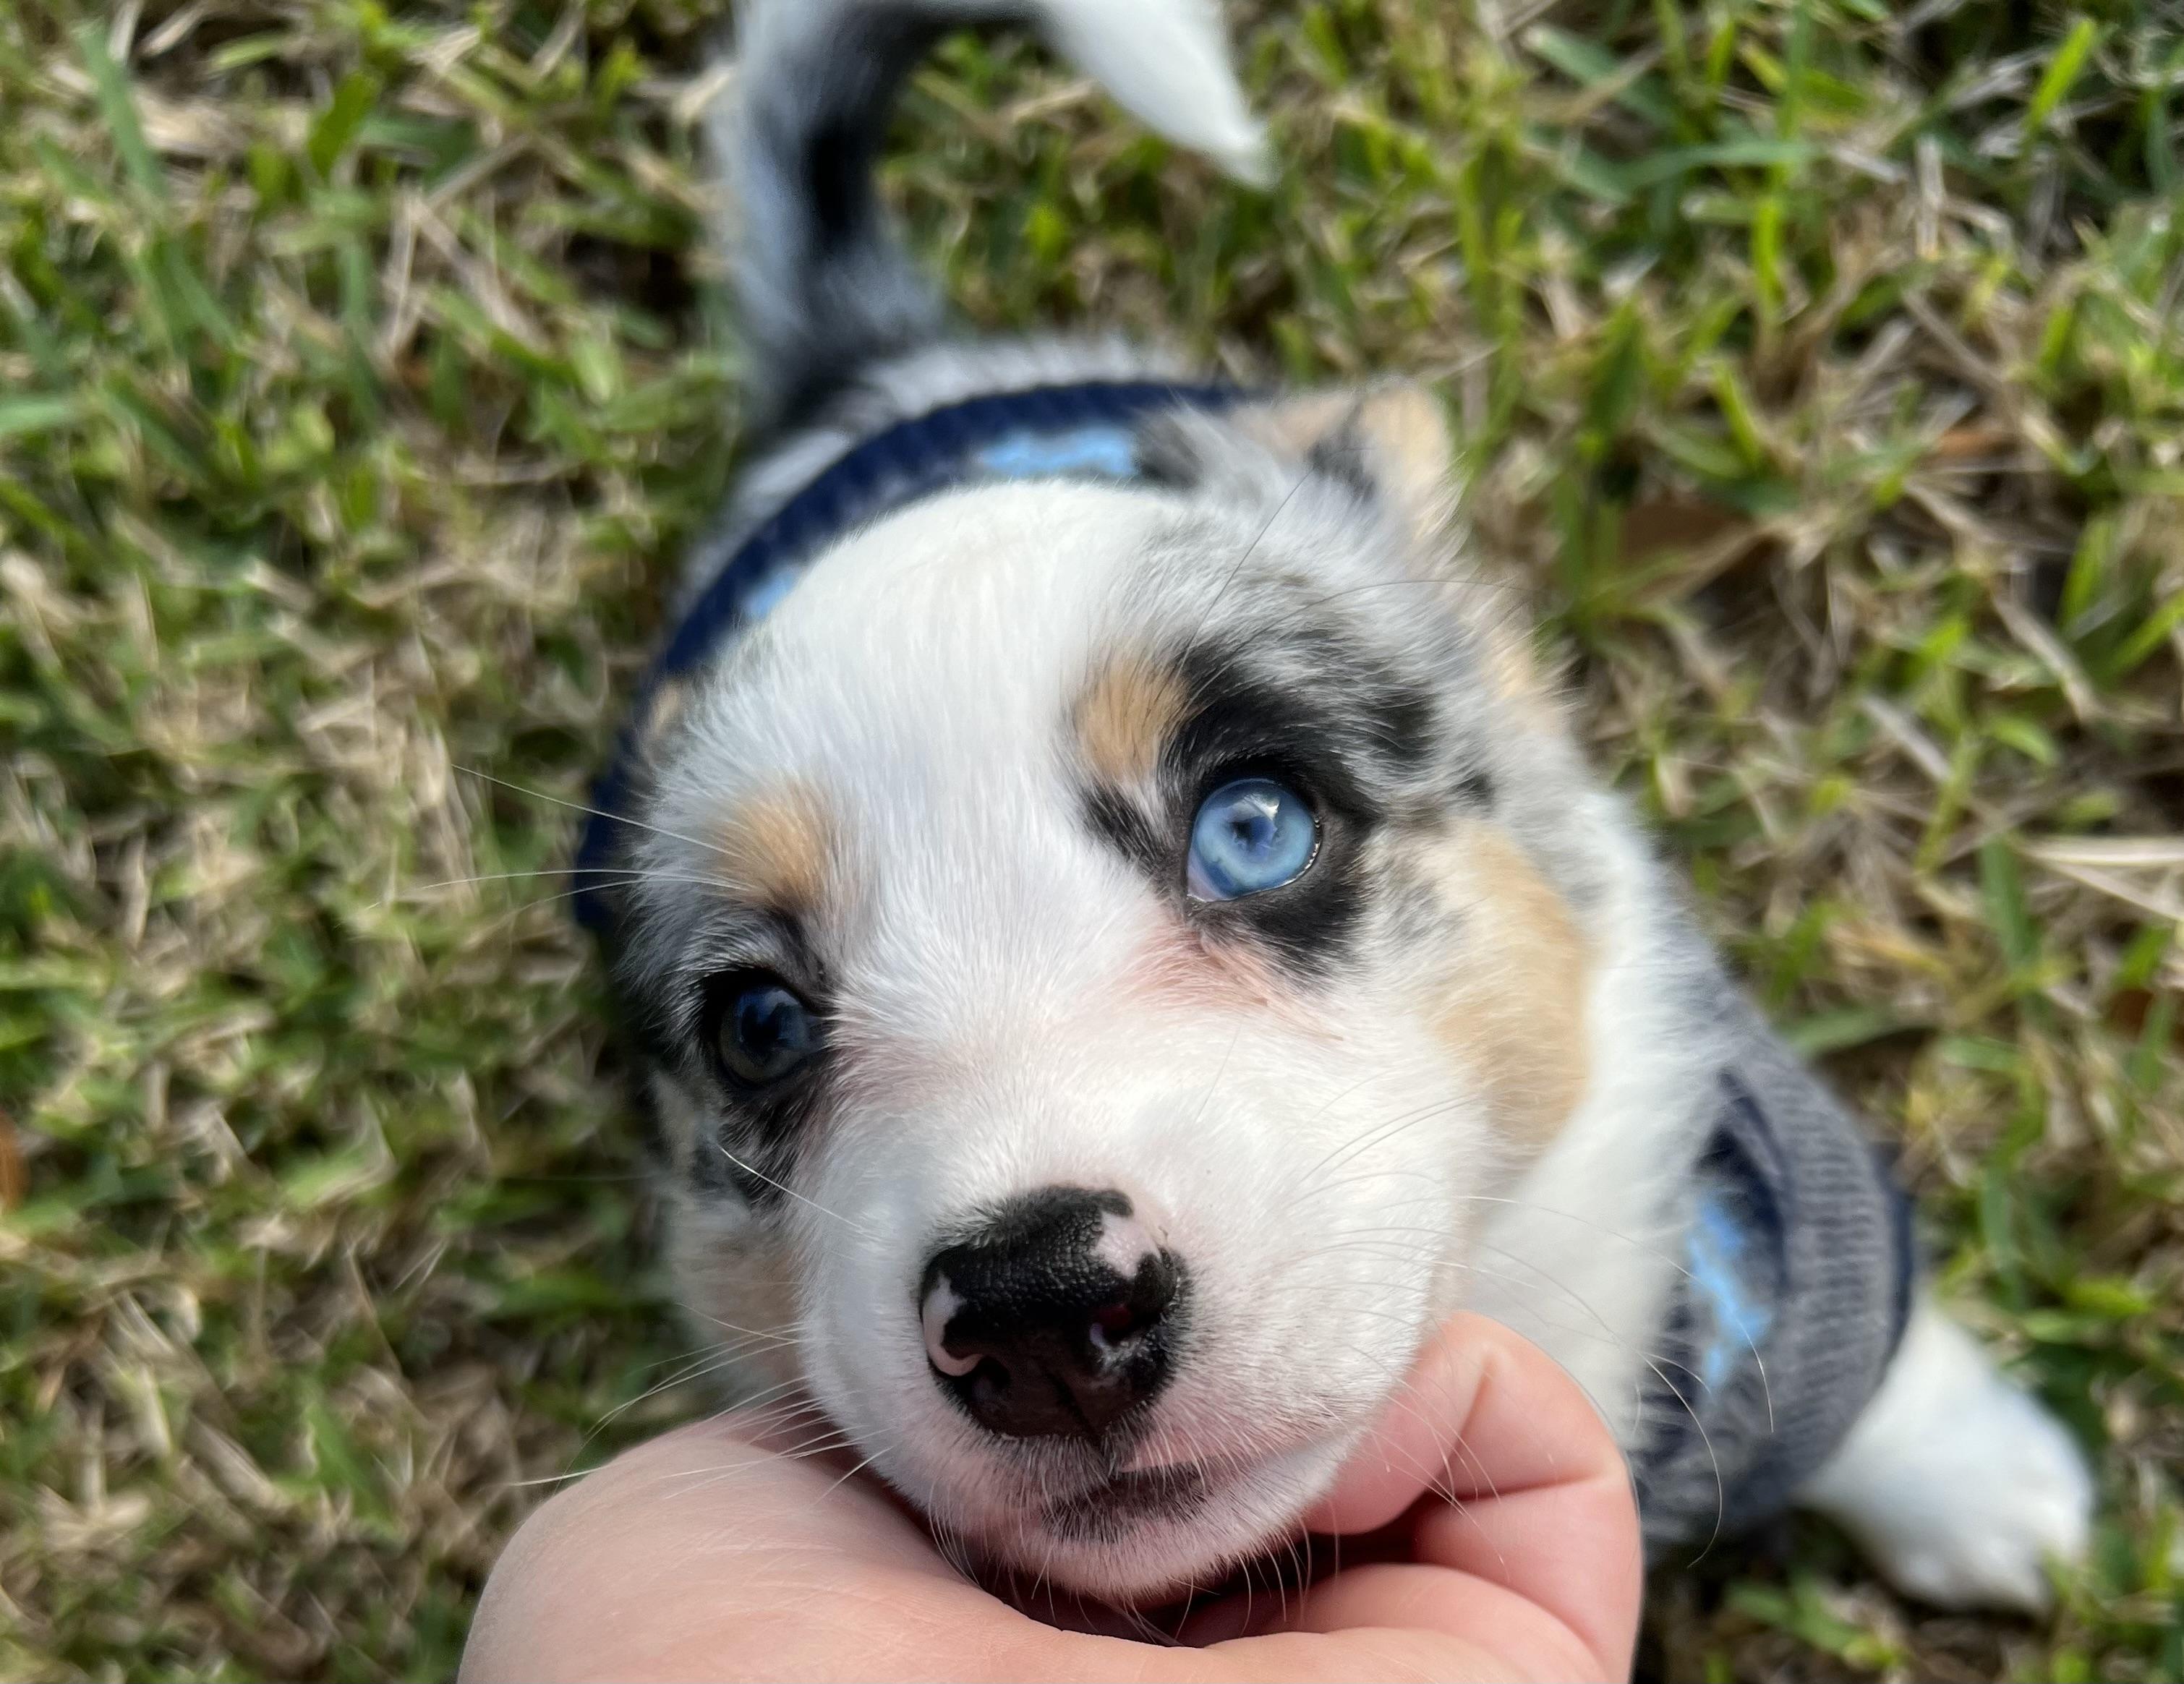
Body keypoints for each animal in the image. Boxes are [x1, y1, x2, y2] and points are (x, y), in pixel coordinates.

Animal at [575, 0, 2093, 1613]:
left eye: (1254, 826)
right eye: (757, 1024)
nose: (1038, 1308)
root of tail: (868, 371)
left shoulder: (1782, 1222)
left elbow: (1885, 1378)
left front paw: (1991, 1490)